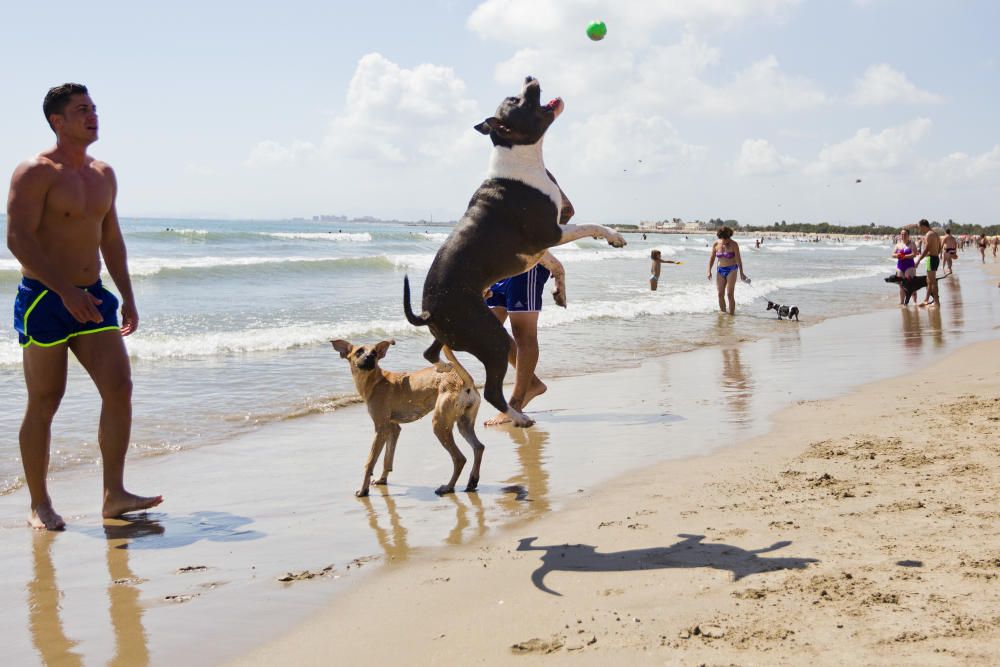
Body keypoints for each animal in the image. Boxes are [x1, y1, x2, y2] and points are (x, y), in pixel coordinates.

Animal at [330, 342, 486, 498]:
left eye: (374, 352)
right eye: (359, 351)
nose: (369, 357)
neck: (375, 380)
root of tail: (464, 381)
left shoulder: (381, 428)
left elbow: (370, 461)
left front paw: (363, 490)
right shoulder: (393, 429)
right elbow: (387, 459)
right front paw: (382, 480)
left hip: (439, 425)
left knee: (459, 458)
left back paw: (448, 487)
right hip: (464, 424)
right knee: (479, 447)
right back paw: (472, 481)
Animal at [404, 75, 624, 426]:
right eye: (517, 101)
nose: (529, 77)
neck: (520, 154)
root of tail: (427, 312)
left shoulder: (538, 248)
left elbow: (557, 263)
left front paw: (560, 289)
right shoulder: (551, 232)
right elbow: (590, 225)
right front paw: (614, 235)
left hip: (465, 330)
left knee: (439, 355)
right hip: (490, 339)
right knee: (493, 391)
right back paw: (516, 416)